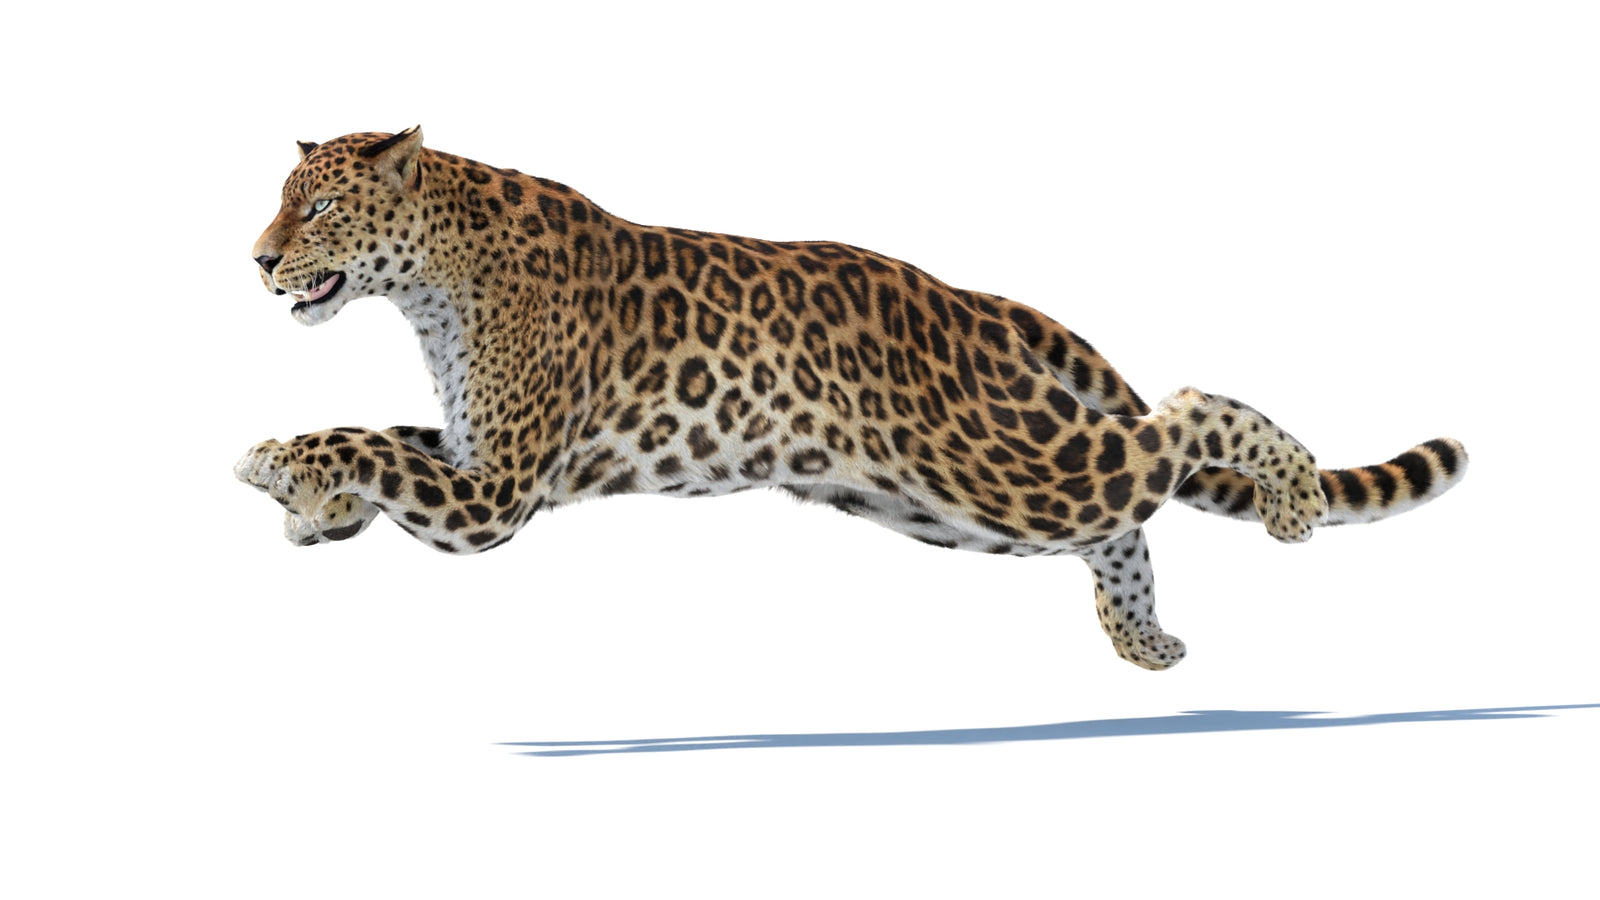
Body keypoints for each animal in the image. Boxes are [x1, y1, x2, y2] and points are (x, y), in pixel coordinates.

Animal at [238, 127, 1468, 670]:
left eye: (318, 209)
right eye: (282, 203)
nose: (257, 260)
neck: (430, 279)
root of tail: (965, 301)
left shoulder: (495, 493)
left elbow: (363, 438)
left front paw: (278, 469)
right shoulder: (470, 454)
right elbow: (378, 437)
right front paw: (314, 508)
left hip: (995, 471)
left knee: (1179, 421)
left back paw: (1293, 500)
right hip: (945, 507)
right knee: (1123, 509)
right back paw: (1147, 640)